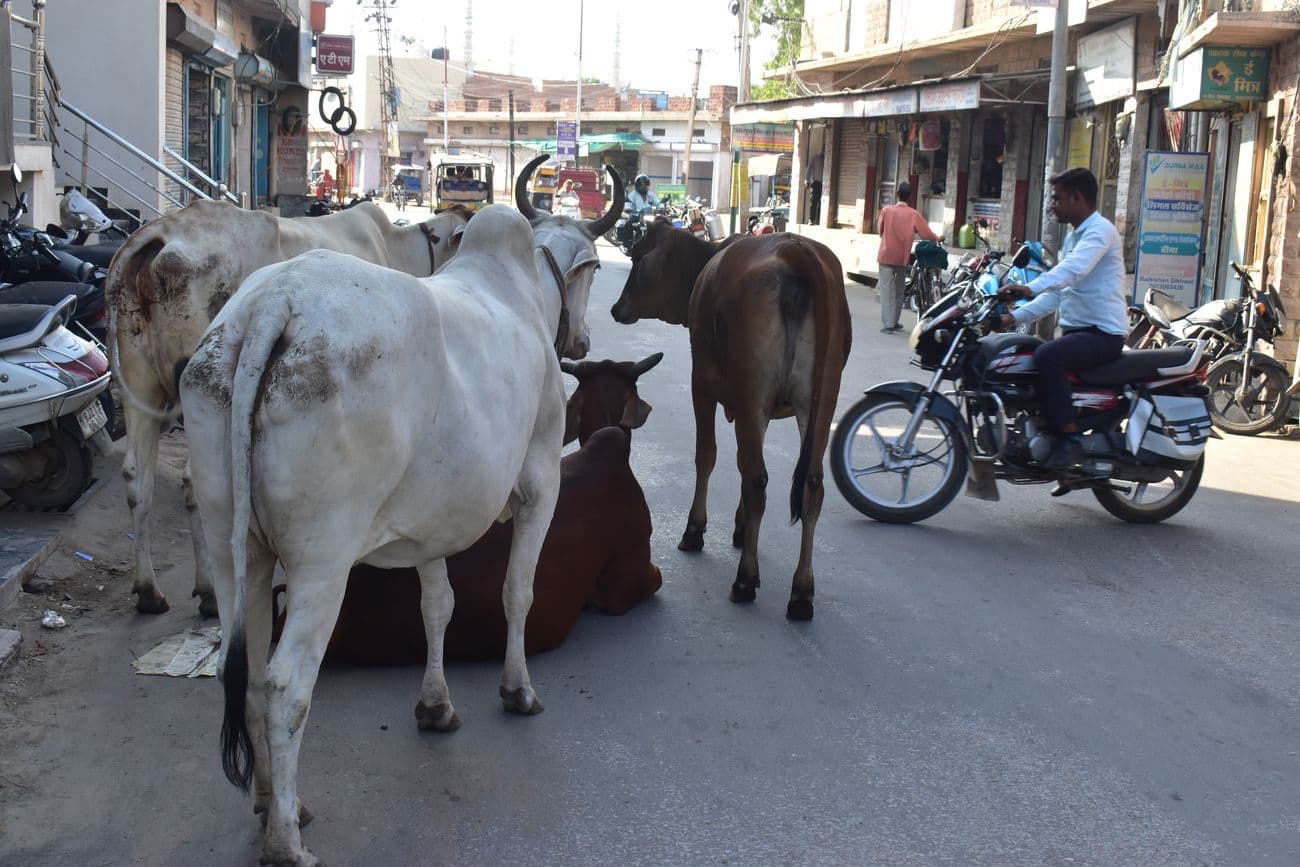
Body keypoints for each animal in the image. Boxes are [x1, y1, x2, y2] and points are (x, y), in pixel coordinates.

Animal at [106, 198, 470, 613]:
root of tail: (162, 233)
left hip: (140, 381)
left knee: (138, 479)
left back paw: (149, 590)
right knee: (194, 486)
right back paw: (209, 590)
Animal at [179, 198, 618, 867]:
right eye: (590, 269)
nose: (583, 340)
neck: (517, 288)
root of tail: (275, 301)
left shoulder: (431, 523)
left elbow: (437, 606)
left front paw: (435, 706)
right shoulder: (542, 482)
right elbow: (517, 594)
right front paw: (517, 691)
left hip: (237, 546)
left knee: (248, 669)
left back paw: (273, 804)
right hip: (322, 562)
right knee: (285, 684)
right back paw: (286, 842)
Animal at [611, 220, 852, 621]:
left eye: (638, 256)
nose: (617, 308)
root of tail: (795, 250)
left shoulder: (703, 384)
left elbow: (707, 456)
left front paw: (695, 530)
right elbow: (740, 464)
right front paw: (740, 529)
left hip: (753, 389)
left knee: (757, 480)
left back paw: (745, 580)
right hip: (823, 397)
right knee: (810, 485)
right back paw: (802, 591)